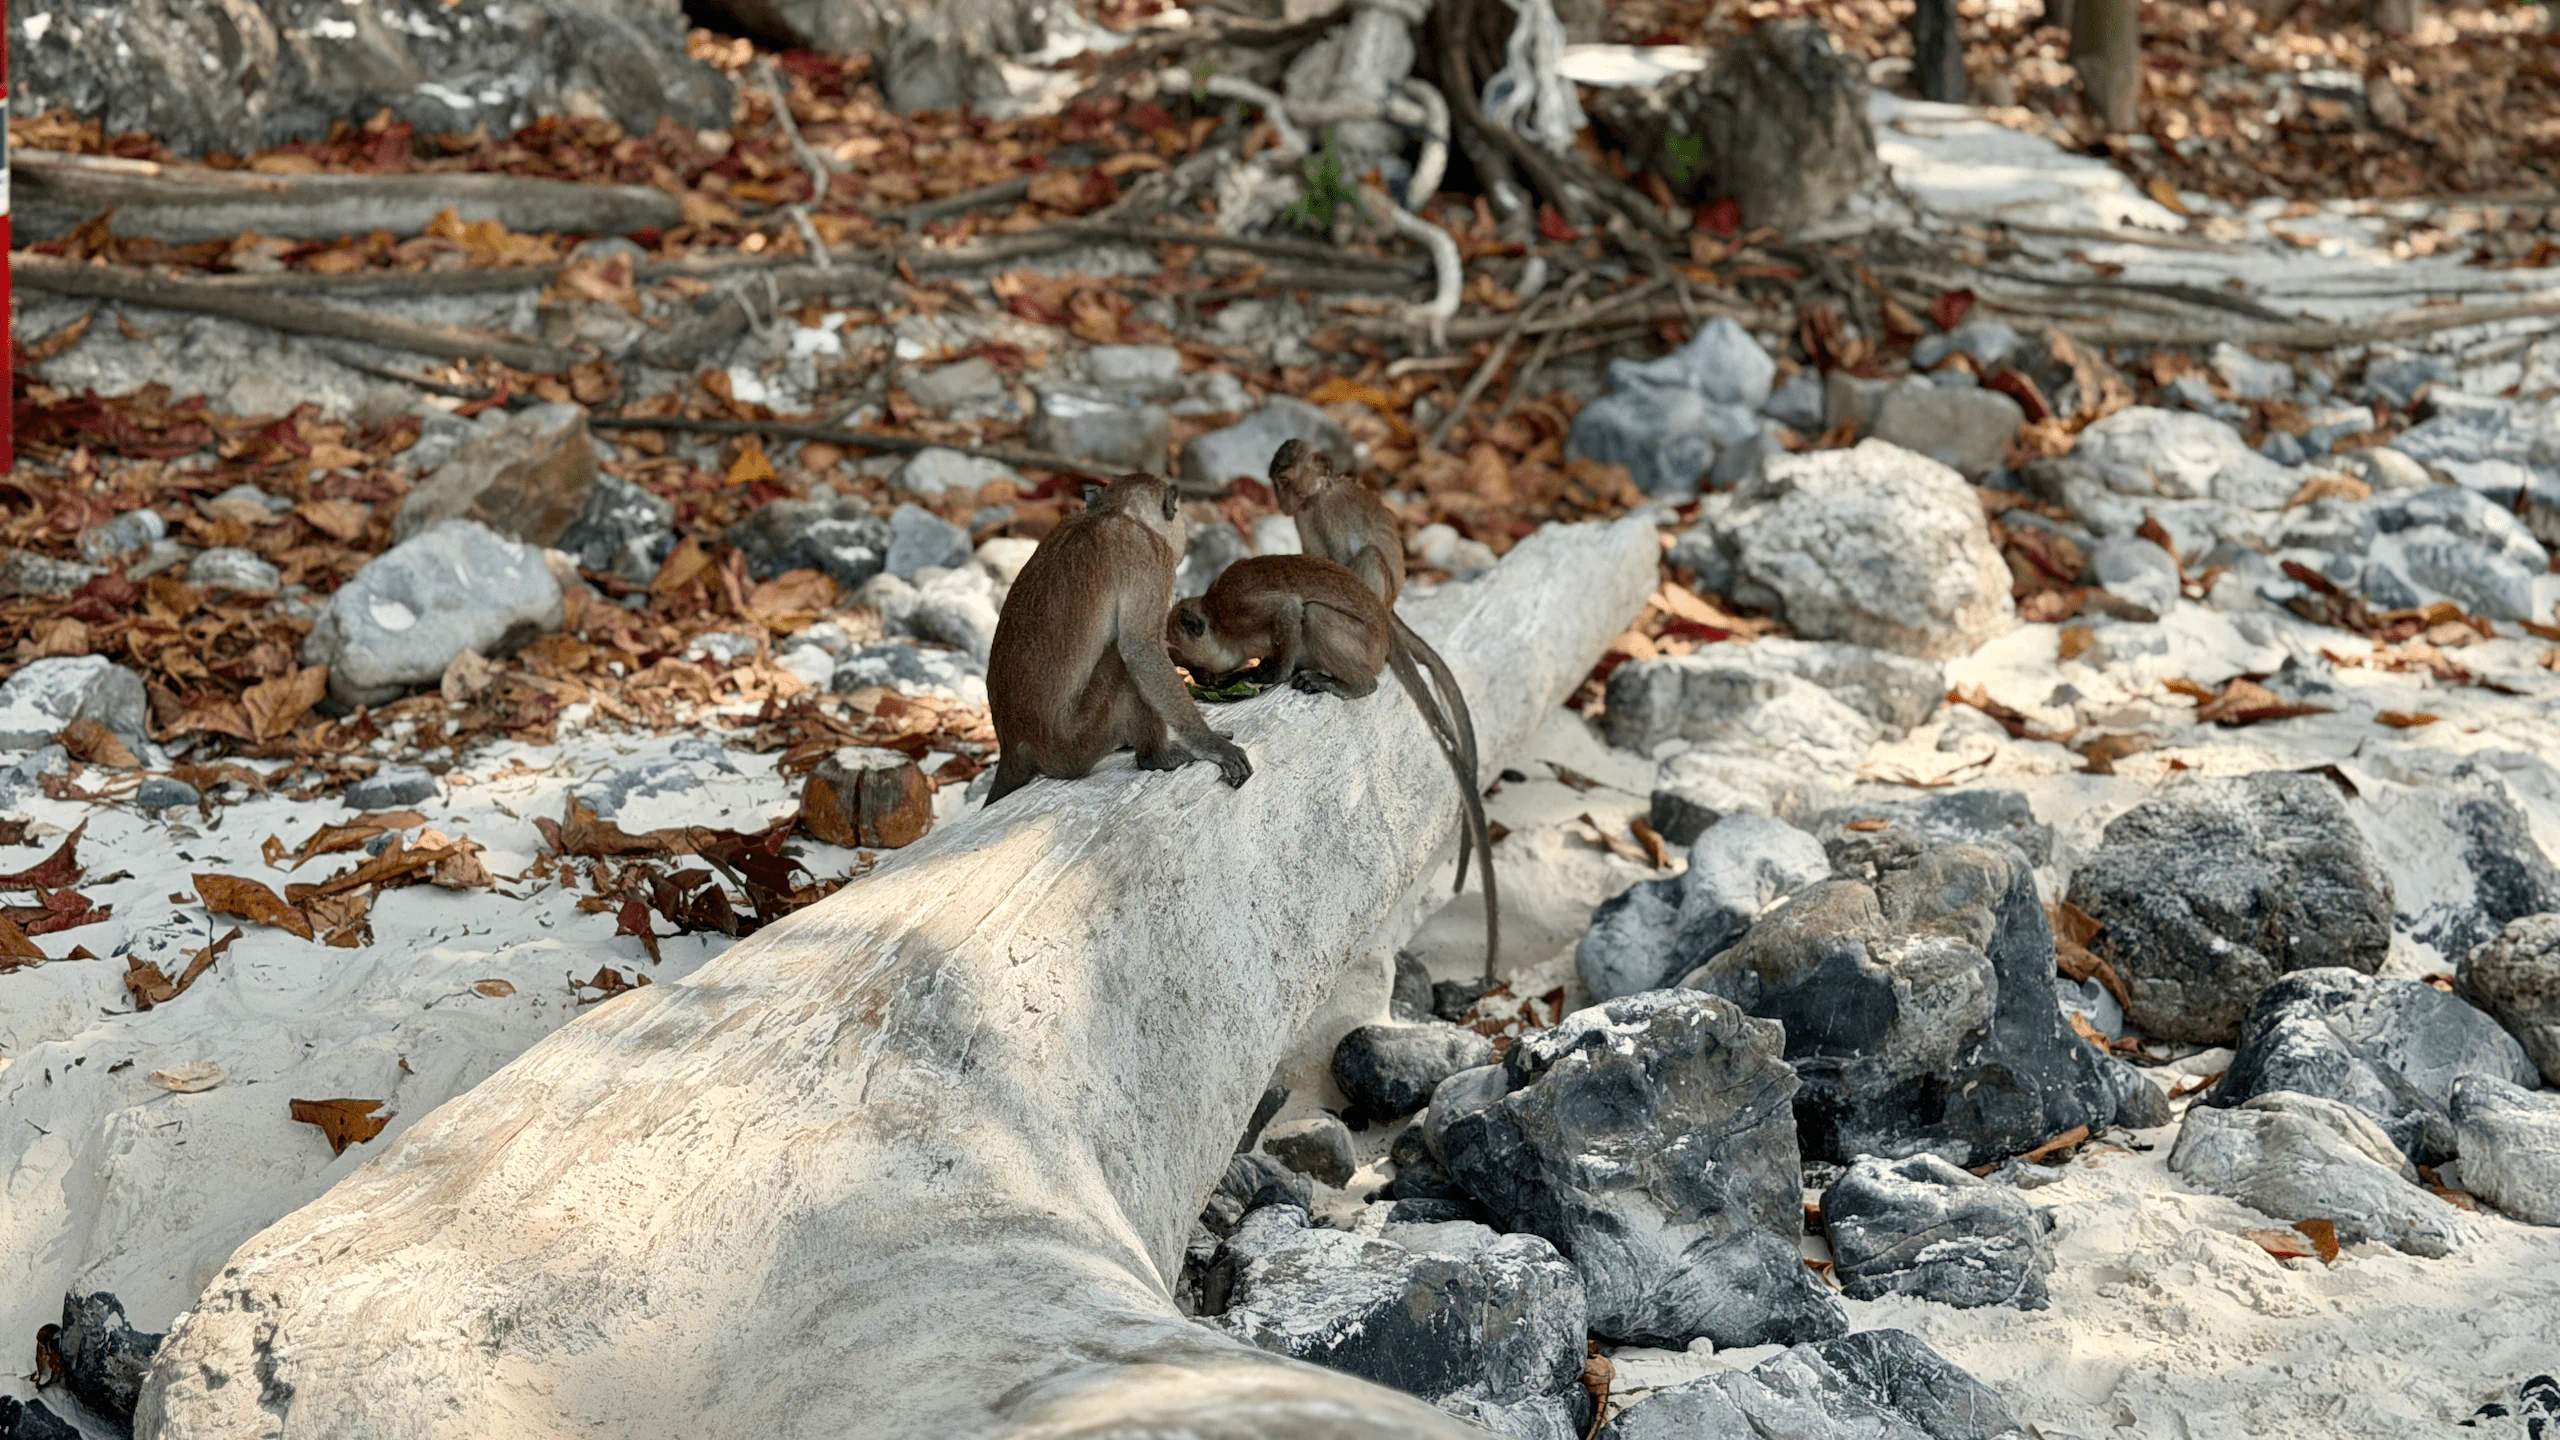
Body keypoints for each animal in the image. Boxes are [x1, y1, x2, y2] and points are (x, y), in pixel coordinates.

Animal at [984, 472, 1251, 806]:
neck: (1112, 512)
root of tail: (1014, 744)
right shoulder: (1151, 556)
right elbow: (1142, 650)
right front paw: (1208, 742)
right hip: (1075, 743)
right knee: (1124, 664)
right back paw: (1155, 756)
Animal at [1165, 555, 1391, 699]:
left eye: (1195, 668)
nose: (1199, 679)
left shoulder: (1235, 611)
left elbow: (1288, 607)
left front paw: (1272, 675)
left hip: (1366, 643)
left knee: (1315, 612)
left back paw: (1357, 685)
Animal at [1266, 438, 1499, 981]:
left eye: (1285, 479)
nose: (1280, 499)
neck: (1317, 495)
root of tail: (1392, 609)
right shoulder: (1305, 519)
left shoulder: (1325, 513)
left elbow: (1336, 564)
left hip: (1377, 597)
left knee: (1366, 557)